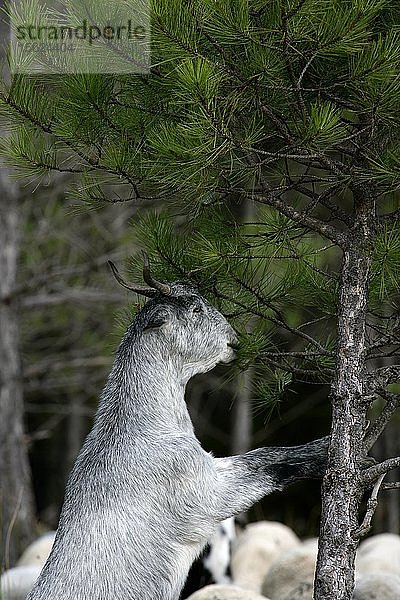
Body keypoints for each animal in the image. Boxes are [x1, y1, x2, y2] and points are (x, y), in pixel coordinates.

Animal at [27, 256, 328, 600]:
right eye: (196, 309)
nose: (234, 340)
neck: (142, 424)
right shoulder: (208, 491)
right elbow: (266, 459)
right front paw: (326, 448)